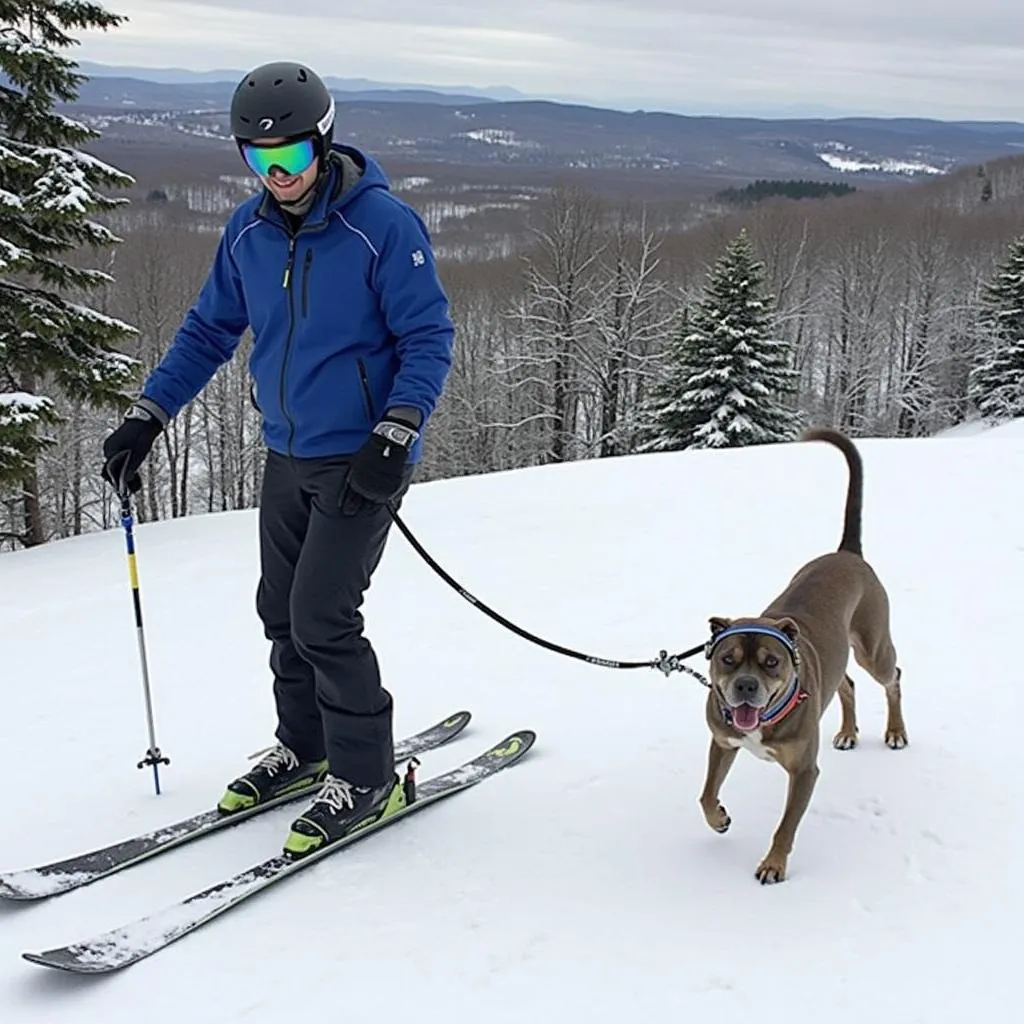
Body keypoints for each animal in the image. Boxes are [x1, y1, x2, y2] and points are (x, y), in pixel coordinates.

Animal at [700, 428, 909, 884]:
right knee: (846, 683)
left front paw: (773, 865)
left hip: (873, 645)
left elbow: (786, 825)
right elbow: (706, 793)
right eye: (728, 659)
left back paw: (896, 732)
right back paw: (848, 732)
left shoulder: (803, 772)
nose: (746, 686)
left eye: (771, 662)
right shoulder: (722, 741)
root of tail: (848, 554)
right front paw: (719, 818)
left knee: (894, 676)